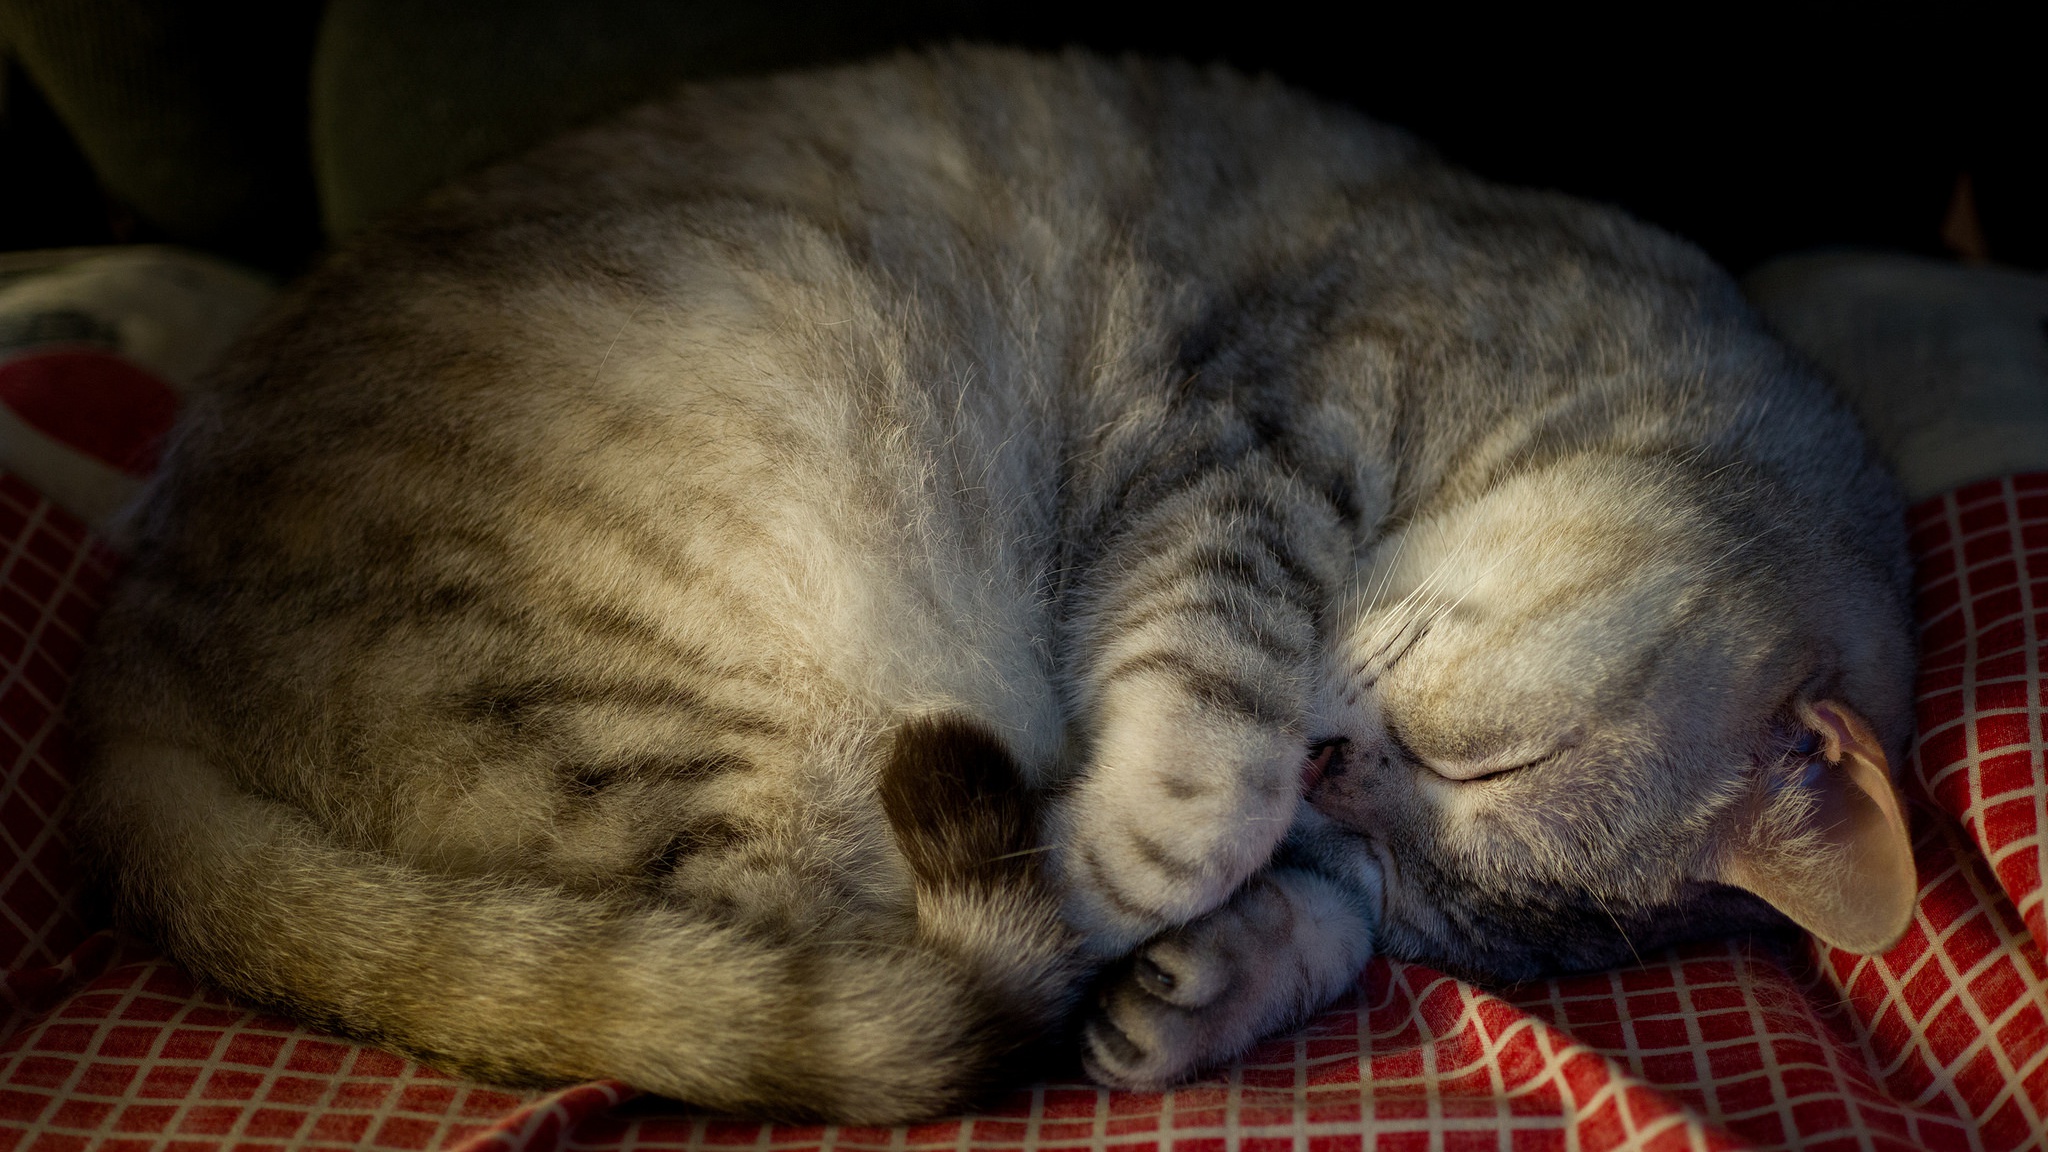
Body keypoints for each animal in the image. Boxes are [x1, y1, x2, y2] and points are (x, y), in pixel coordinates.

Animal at [64, 49, 1916, 1115]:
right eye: (1491, 760)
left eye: (1446, 848)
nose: (1336, 775)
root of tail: (132, 655)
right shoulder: (1248, 443)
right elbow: (1208, 764)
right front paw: (1147, 872)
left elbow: (1301, 895)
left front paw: (1220, 975)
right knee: (845, 951)